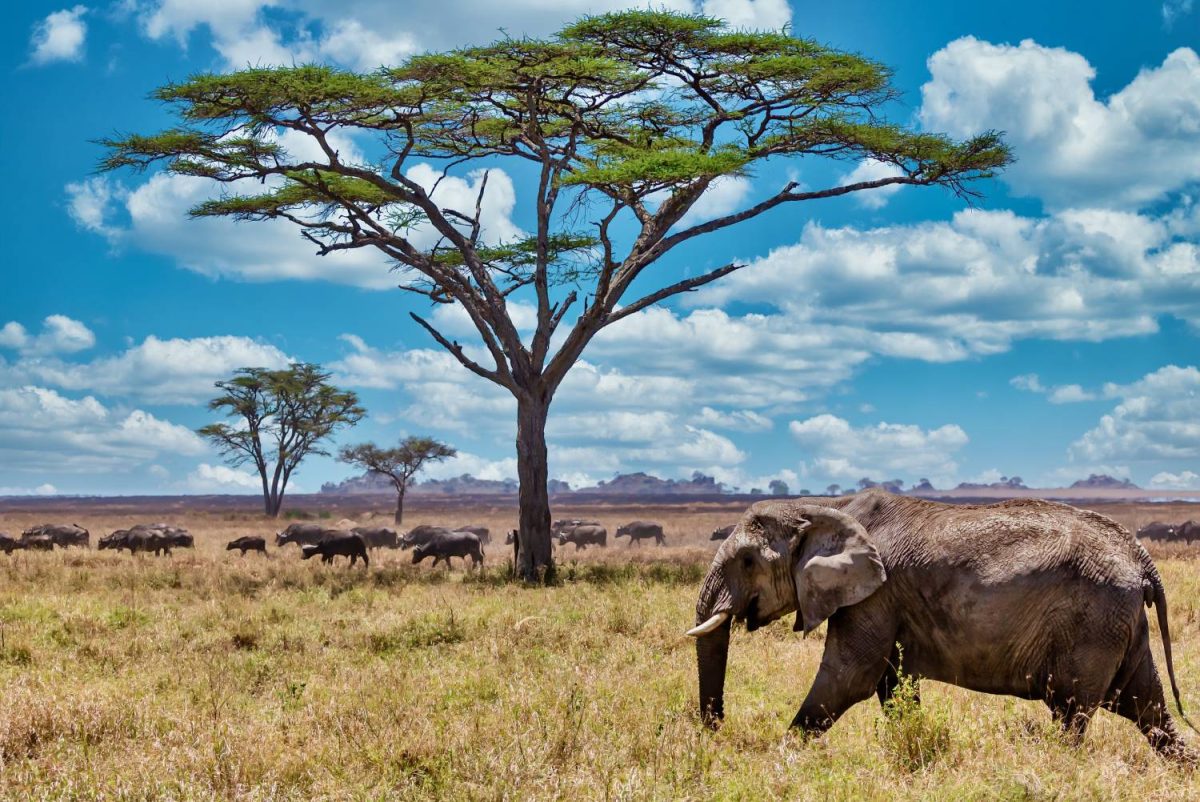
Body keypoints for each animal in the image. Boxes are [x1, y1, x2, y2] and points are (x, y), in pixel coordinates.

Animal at [689, 491, 1197, 763]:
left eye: (747, 561)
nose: (715, 731)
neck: (825, 506)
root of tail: (1140, 557)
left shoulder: (875, 594)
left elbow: (849, 676)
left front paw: (781, 756)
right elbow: (890, 685)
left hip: (1093, 621)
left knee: (1074, 710)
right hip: (1118, 622)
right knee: (1147, 707)